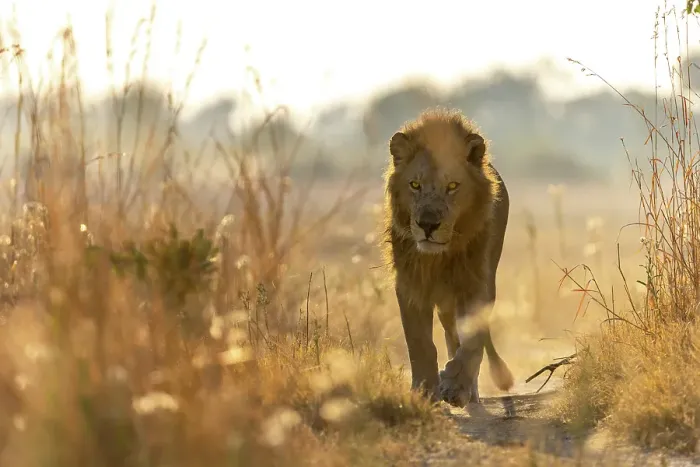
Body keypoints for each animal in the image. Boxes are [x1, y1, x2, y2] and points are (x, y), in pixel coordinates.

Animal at [381, 108, 514, 406]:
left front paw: (455, 385)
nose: (427, 224)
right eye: (415, 184)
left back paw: (469, 389)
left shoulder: (476, 282)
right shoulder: (410, 285)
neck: (438, 257)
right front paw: (424, 390)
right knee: (450, 333)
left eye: (452, 185)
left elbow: (474, 339)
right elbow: (419, 343)